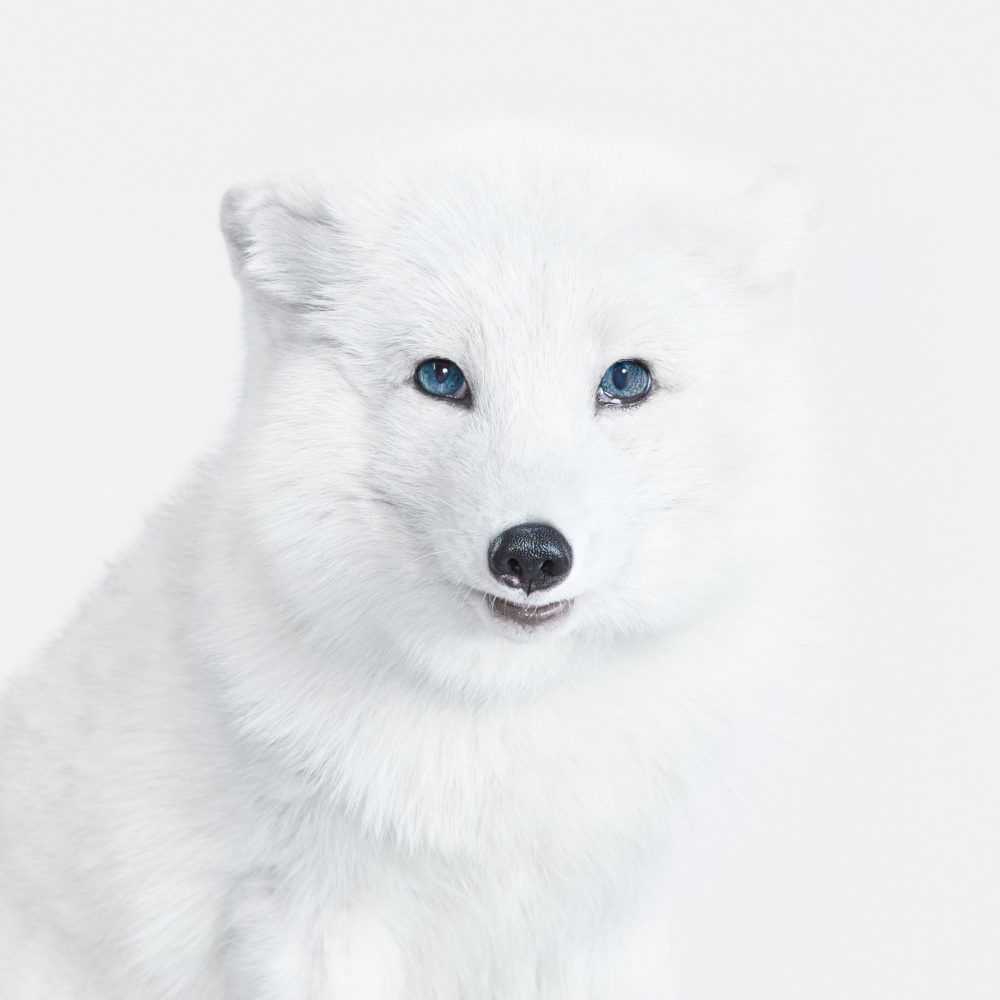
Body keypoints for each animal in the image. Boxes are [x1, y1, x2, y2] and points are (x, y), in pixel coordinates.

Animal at [0, 130, 808, 998]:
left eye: (625, 380)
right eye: (441, 378)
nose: (531, 554)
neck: (497, 728)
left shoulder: (598, 934)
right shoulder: (313, 921)